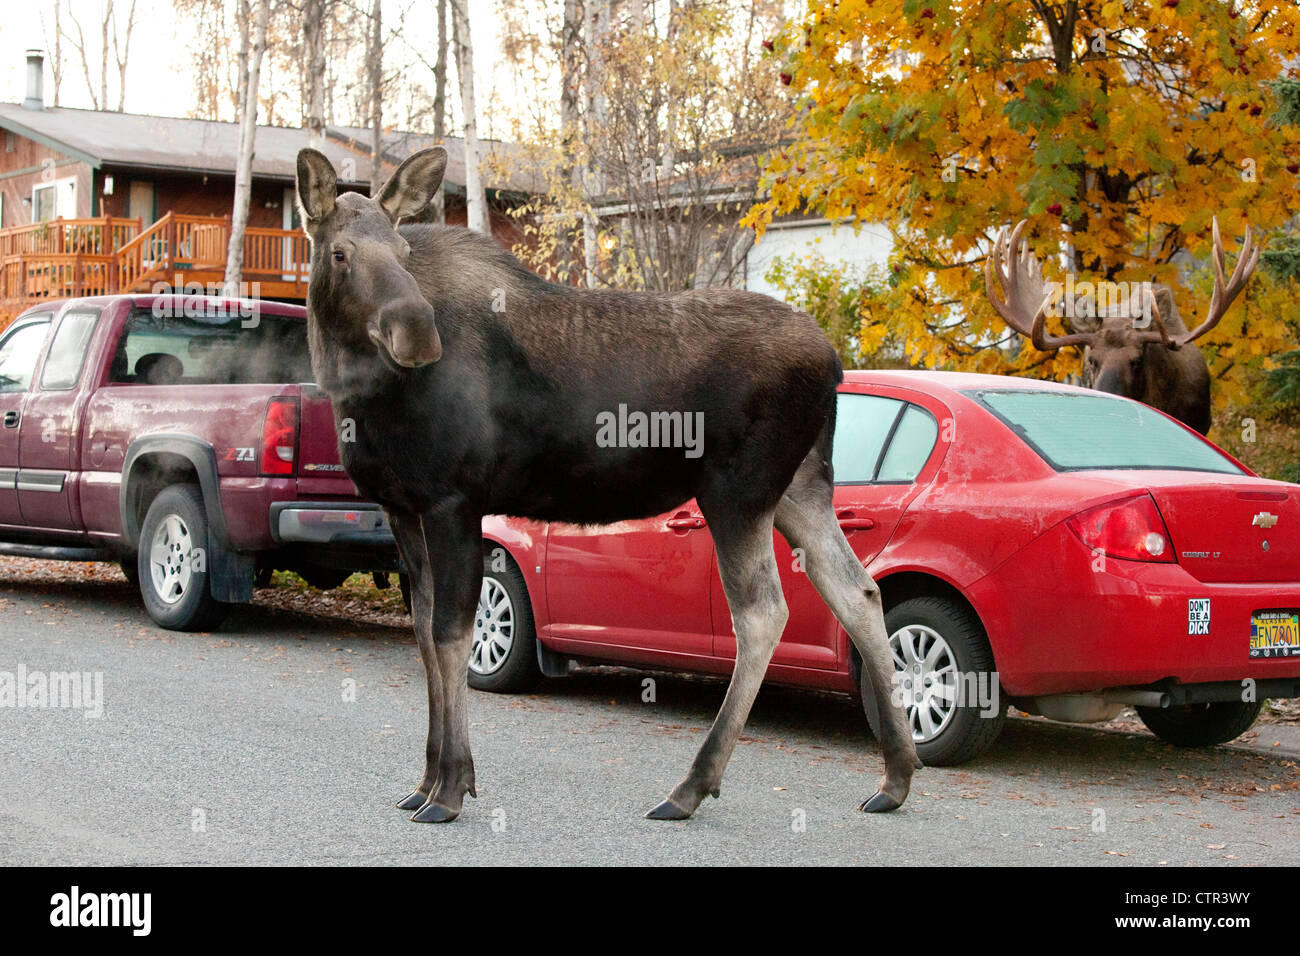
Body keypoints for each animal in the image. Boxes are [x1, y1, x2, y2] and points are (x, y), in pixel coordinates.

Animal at [295, 145, 925, 827]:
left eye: (403, 251)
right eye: (340, 253)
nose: (416, 333)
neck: (357, 392)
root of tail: (833, 362)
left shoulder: (454, 501)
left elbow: (449, 637)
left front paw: (451, 788)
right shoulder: (401, 508)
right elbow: (424, 634)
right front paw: (424, 780)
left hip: (738, 492)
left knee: (763, 612)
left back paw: (691, 786)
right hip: (801, 489)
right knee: (858, 591)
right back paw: (895, 776)